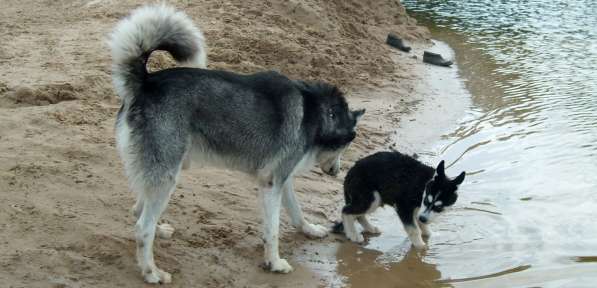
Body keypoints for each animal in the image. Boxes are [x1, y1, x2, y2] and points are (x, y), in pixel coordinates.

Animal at [110, 3, 366, 284]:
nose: (337, 172)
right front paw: (274, 262)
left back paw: (161, 231)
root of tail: (146, 83)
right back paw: (151, 272)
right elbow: (273, 230)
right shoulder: (272, 184)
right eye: (346, 147)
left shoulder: (282, 180)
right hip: (166, 177)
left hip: (162, 173)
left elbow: (296, 211)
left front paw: (309, 230)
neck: (318, 111)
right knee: (142, 228)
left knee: (138, 211)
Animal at [330, 152, 466, 249]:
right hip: (372, 198)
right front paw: (420, 246)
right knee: (346, 210)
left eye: (438, 208)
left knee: (358, 214)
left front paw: (427, 233)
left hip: (371, 199)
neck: (423, 184)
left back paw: (370, 228)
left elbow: (421, 225)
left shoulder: (418, 210)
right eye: (427, 201)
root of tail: (350, 172)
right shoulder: (404, 206)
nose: (423, 218)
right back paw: (353, 235)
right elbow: (413, 229)